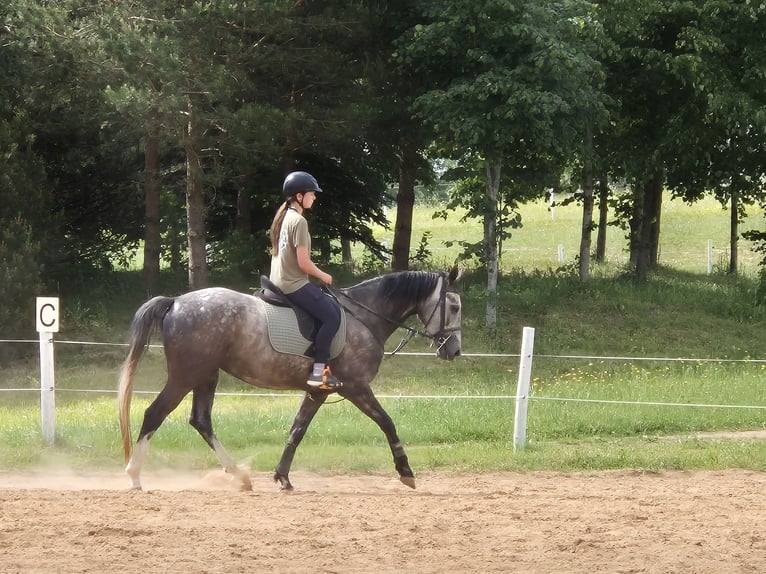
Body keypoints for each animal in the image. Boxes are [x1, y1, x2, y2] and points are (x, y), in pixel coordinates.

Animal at [118, 268, 464, 492]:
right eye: (455, 306)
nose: (455, 350)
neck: (364, 317)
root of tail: (176, 301)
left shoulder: (318, 392)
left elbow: (297, 429)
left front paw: (282, 477)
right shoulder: (356, 386)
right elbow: (386, 422)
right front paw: (405, 471)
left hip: (207, 375)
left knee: (200, 420)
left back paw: (240, 477)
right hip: (186, 375)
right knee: (155, 413)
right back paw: (134, 476)